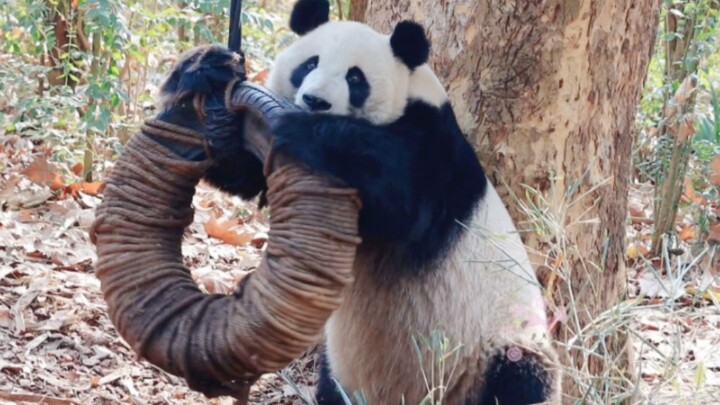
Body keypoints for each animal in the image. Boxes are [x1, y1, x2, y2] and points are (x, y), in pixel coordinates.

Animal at [261, 1, 562, 404]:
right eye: (309, 64)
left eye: (355, 79)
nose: (315, 101)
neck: (411, 93)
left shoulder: (436, 151)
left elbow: (401, 201)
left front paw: (297, 128)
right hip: (340, 368)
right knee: (331, 384)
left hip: (495, 344)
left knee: (521, 377)